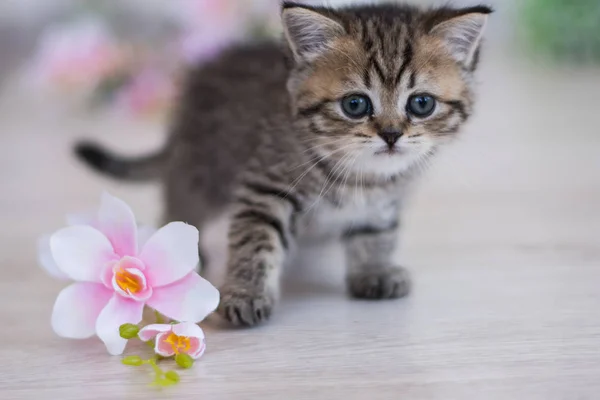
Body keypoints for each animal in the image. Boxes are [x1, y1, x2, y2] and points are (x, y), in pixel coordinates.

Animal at [76, 1, 492, 326]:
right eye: (355, 104)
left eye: (421, 104)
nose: (391, 135)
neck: (359, 175)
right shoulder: (265, 186)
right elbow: (256, 239)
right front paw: (245, 293)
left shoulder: (384, 200)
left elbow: (376, 234)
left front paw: (374, 271)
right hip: (200, 168)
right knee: (180, 203)